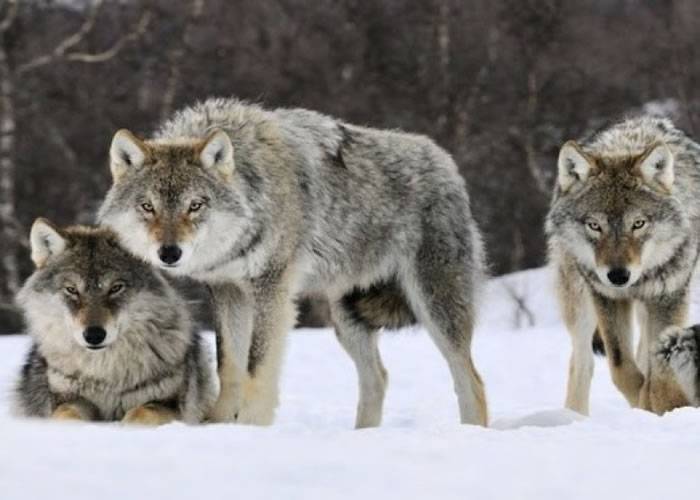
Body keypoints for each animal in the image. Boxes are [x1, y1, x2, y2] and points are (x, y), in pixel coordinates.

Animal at [14, 221, 216, 424]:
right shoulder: (68, 399)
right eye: (71, 290)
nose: (94, 335)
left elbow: (141, 414)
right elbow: (67, 415)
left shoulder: (168, 404)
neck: (105, 375)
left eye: (116, 288)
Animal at [98, 98, 486, 430]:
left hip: (435, 308)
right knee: (378, 378)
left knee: (471, 381)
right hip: (346, 318)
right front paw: (220, 424)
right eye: (148, 207)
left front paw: (251, 426)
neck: (254, 190)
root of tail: (446, 162)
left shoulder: (272, 289)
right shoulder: (227, 290)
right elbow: (229, 366)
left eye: (195, 205)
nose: (169, 253)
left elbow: (257, 367)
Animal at [548, 116, 700, 414]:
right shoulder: (606, 297)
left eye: (638, 224)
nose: (618, 275)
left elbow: (656, 373)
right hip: (580, 303)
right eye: (595, 226)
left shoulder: (669, 297)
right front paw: (644, 403)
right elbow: (622, 369)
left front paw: (657, 405)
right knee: (582, 362)